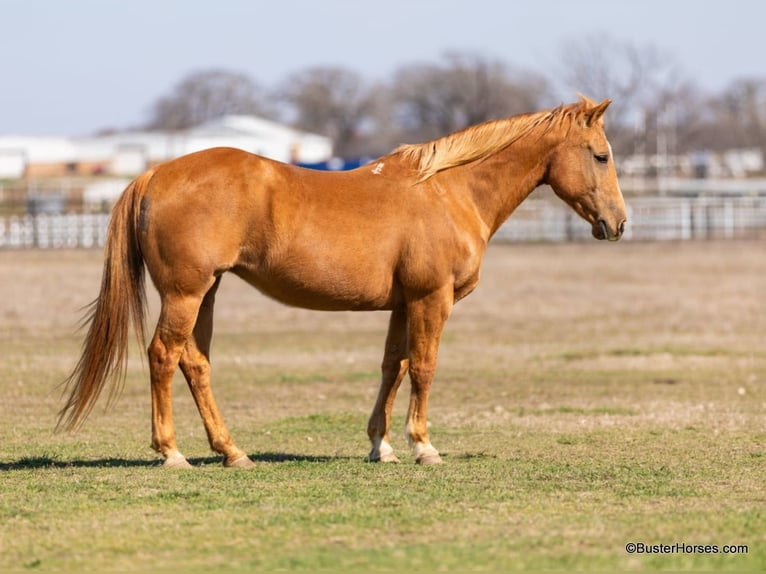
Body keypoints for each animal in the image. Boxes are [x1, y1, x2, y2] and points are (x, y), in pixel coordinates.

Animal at [57, 97, 628, 470]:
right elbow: (424, 368)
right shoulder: (431, 299)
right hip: (185, 293)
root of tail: (153, 174)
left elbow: (394, 367)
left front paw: (382, 445)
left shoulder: (404, 304)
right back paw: (172, 453)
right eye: (601, 155)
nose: (619, 223)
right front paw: (423, 446)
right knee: (162, 355)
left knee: (194, 363)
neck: (449, 191)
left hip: (207, 293)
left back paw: (232, 452)